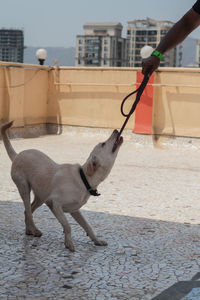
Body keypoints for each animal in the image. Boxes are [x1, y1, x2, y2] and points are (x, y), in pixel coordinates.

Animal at [0, 121, 122, 251]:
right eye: (103, 144)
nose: (116, 130)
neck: (83, 179)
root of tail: (17, 155)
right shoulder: (54, 204)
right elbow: (67, 225)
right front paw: (68, 243)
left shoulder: (75, 210)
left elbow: (87, 226)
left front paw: (97, 241)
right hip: (24, 189)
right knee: (28, 211)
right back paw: (34, 230)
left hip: (40, 197)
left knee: (27, 211)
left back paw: (29, 230)